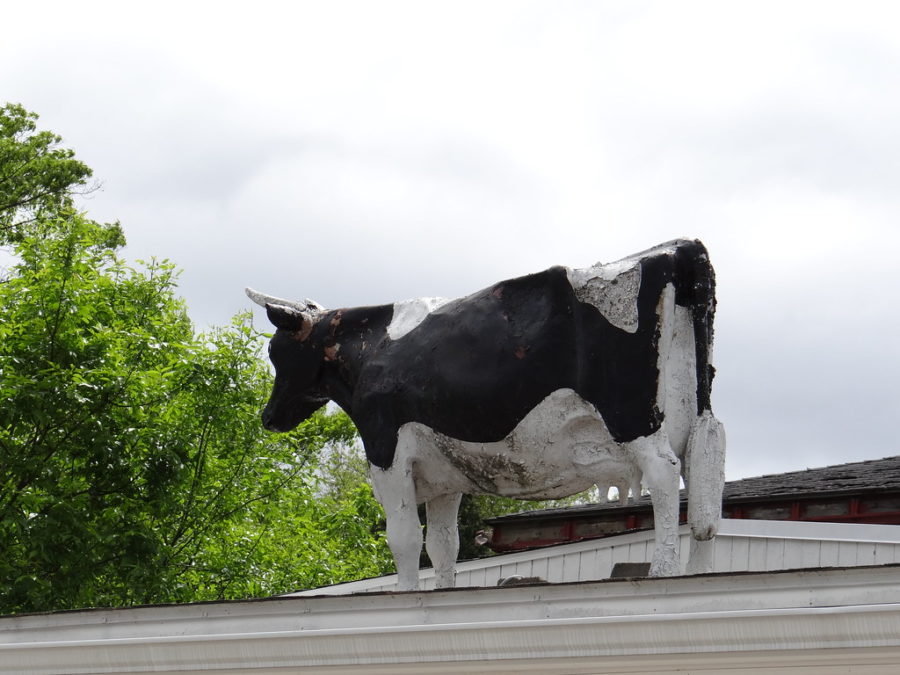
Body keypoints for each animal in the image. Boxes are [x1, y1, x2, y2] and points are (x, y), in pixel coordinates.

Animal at [246, 240, 724, 588]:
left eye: (275, 352)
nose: (269, 418)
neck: (371, 345)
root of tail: (679, 248)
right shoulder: (441, 472)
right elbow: (443, 546)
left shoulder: (386, 449)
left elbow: (403, 539)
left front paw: (406, 596)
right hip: (690, 411)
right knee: (702, 480)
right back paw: (699, 572)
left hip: (633, 415)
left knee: (665, 473)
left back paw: (663, 572)